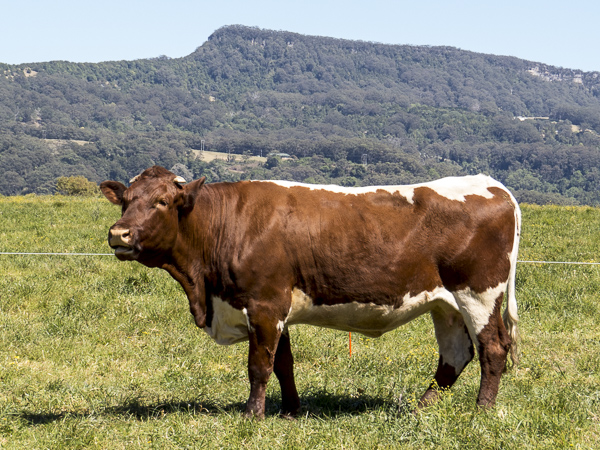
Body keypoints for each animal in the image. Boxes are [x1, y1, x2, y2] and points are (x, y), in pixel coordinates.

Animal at [99, 165, 520, 418]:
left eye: (162, 201)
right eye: (126, 201)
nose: (119, 234)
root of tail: (491, 184)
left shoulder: (265, 304)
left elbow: (258, 365)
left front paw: (253, 415)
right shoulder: (275, 309)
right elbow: (283, 363)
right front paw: (289, 411)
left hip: (479, 294)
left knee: (493, 348)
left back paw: (481, 411)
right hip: (445, 304)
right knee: (455, 356)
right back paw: (420, 408)